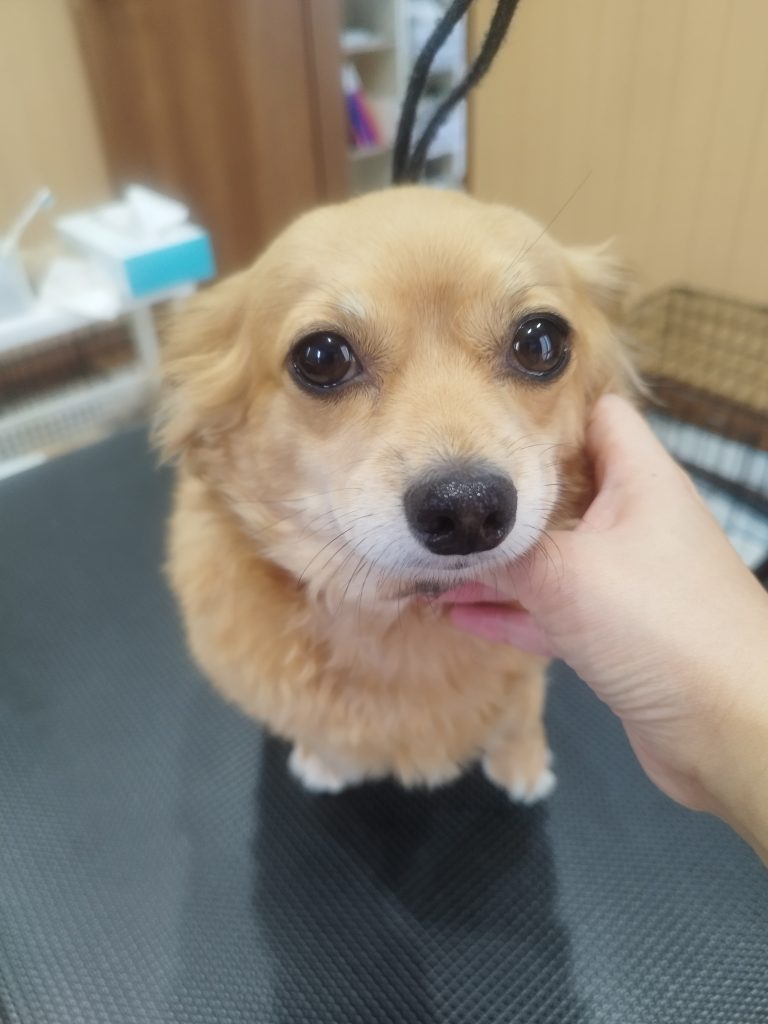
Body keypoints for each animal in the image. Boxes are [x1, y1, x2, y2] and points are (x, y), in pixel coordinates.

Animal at [156, 186, 635, 801]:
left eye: (541, 343)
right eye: (321, 357)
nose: (467, 507)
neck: (408, 620)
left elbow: (519, 712)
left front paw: (522, 759)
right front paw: (326, 761)